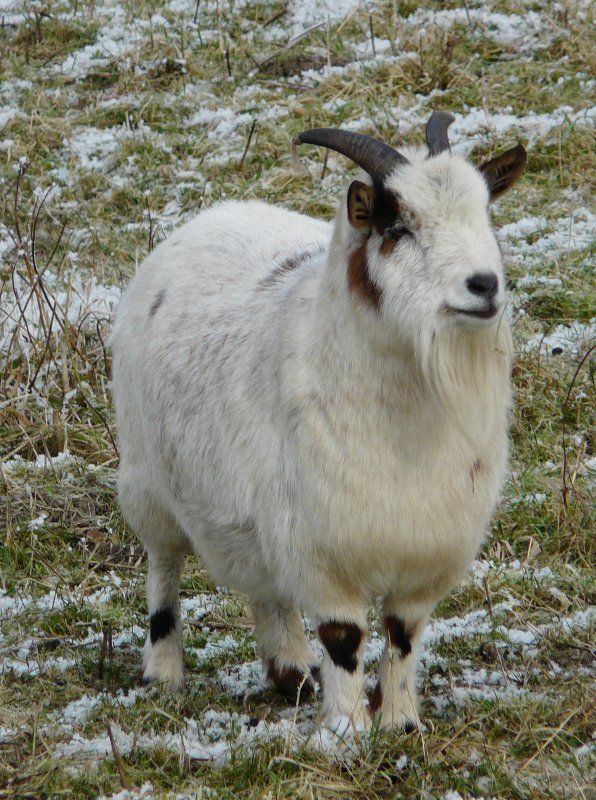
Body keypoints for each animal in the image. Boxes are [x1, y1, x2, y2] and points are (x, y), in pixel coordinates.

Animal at [110, 111, 528, 732]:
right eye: (396, 227)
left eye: (486, 215)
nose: (484, 285)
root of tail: (210, 217)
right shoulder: (322, 546)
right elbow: (344, 636)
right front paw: (347, 731)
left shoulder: (426, 547)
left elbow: (403, 635)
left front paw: (401, 724)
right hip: (146, 481)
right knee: (164, 565)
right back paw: (164, 672)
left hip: (253, 517)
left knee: (266, 586)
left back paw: (292, 672)